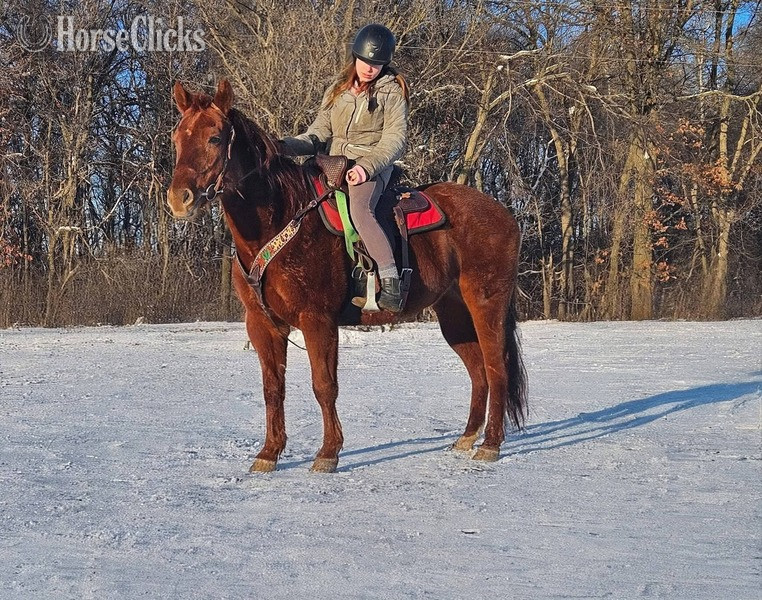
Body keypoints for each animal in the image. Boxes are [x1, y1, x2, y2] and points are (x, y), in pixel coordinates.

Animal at [167, 79, 527, 473]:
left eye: (215, 137)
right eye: (176, 137)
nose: (179, 200)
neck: (282, 220)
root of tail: (504, 214)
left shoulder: (317, 320)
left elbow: (324, 385)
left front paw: (328, 453)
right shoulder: (262, 324)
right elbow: (273, 387)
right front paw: (269, 453)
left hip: (486, 305)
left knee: (496, 369)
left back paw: (490, 444)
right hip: (454, 314)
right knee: (478, 372)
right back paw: (466, 438)